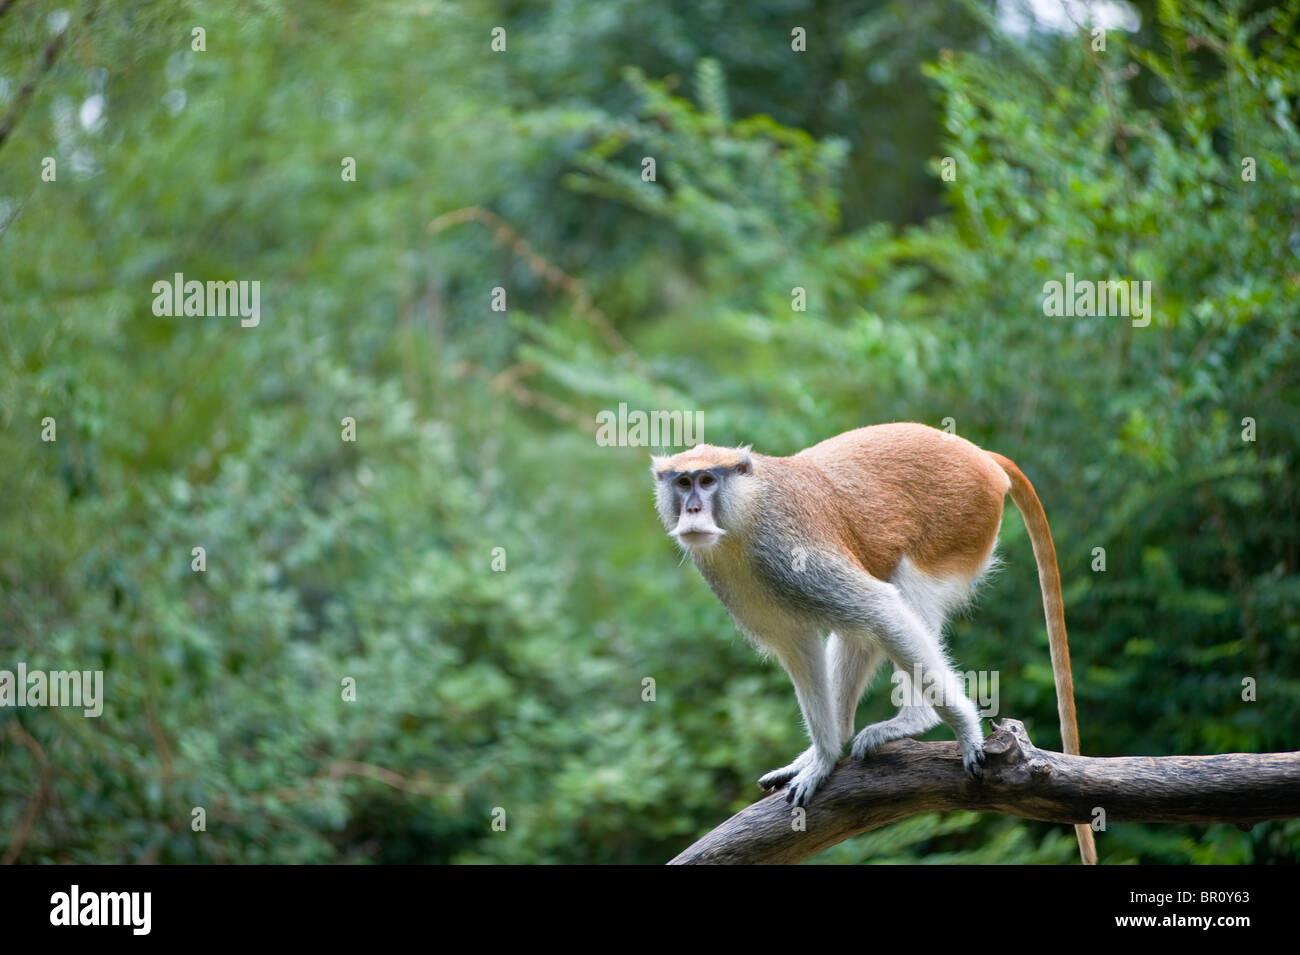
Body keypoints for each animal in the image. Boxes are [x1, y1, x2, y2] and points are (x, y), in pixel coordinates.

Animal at [650, 420, 1097, 862]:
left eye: (707, 481)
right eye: (683, 482)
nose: (692, 510)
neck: (748, 508)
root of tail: (978, 454)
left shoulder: (791, 551)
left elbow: (881, 607)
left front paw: (967, 729)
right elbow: (798, 645)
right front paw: (823, 757)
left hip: (963, 519)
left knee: (905, 591)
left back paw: (914, 719)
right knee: (861, 628)